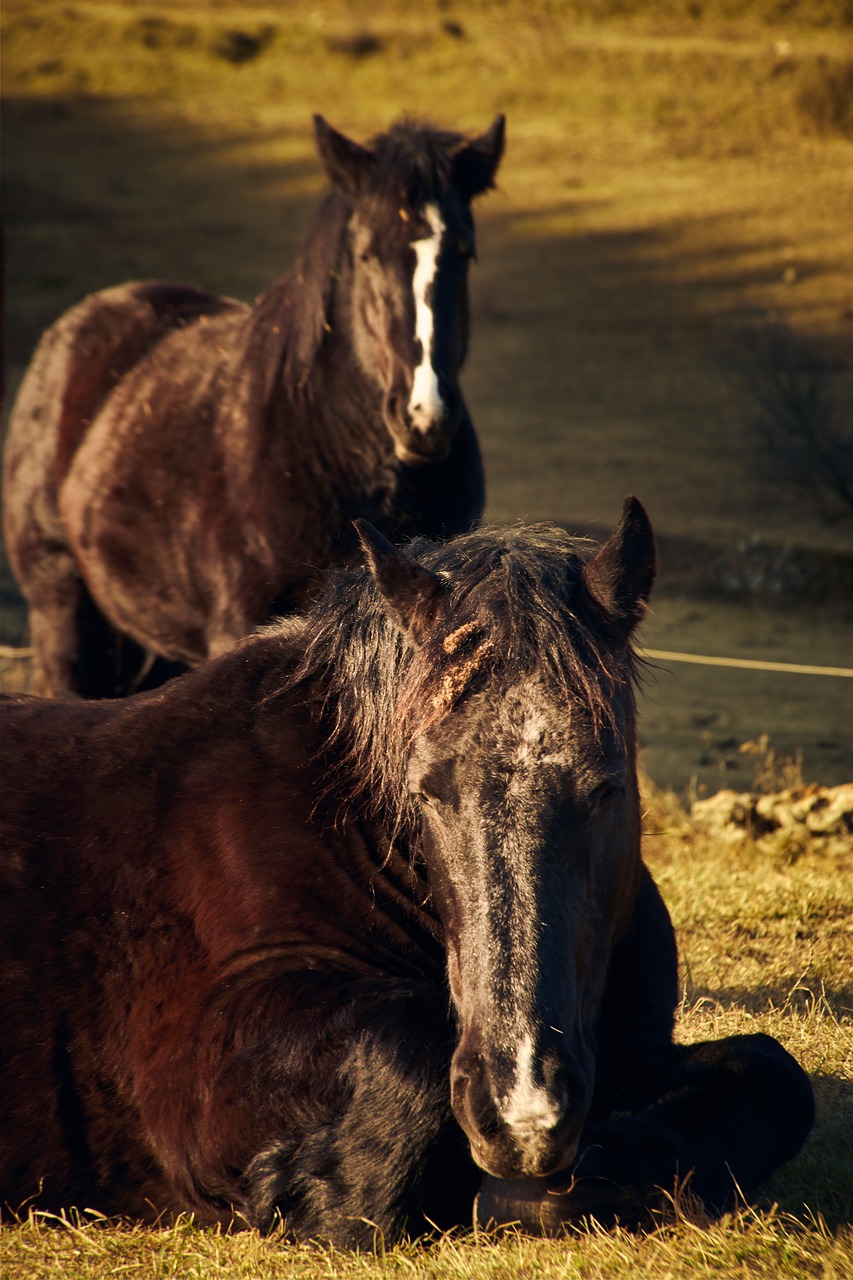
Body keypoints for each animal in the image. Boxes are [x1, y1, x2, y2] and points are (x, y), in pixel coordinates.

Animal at [0, 501, 809, 1249]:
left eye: (608, 787)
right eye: (427, 790)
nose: (522, 1114)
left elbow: (770, 1074)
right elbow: (413, 1052)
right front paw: (310, 1195)